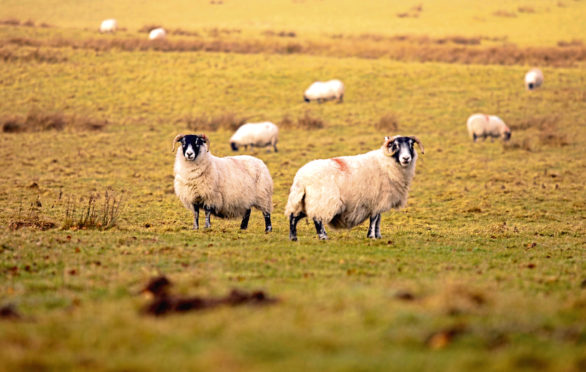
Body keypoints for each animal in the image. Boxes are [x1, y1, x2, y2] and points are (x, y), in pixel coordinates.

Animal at [282, 135, 420, 240]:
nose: (406, 158)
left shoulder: (379, 200)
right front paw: (371, 236)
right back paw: (323, 237)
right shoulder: (376, 199)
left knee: (293, 217)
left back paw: (293, 238)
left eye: (411, 145)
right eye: (395, 145)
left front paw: (378, 236)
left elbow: (378, 219)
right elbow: (374, 219)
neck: (386, 163)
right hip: (322, 199)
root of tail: (301, 177)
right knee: (317, 218)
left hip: (304, 201)